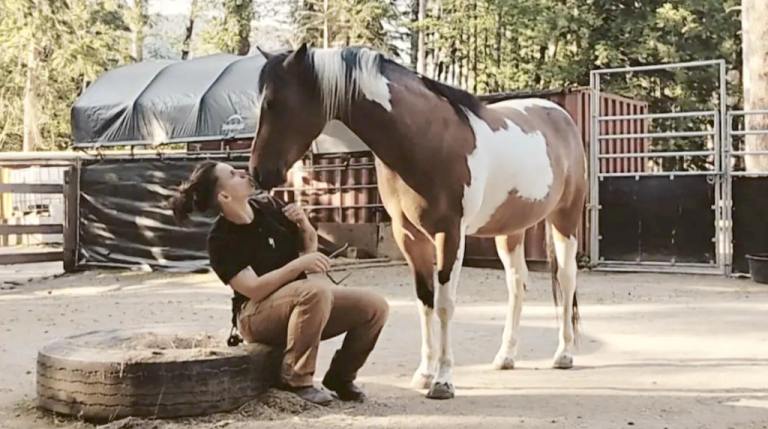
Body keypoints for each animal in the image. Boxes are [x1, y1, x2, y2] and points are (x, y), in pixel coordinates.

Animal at [249, 42, 584, 398]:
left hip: (565, 219)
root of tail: (560, 114)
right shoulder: (409, 236)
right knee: (517, 284)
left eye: (274, 103)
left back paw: (564, 354)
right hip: (510, 230)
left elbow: (445, 304)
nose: (258, 172)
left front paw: (443, 380)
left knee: (566, 278)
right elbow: (425, 301)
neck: (426, 139)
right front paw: (424, 373)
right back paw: (505, 357)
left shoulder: (450, 234)